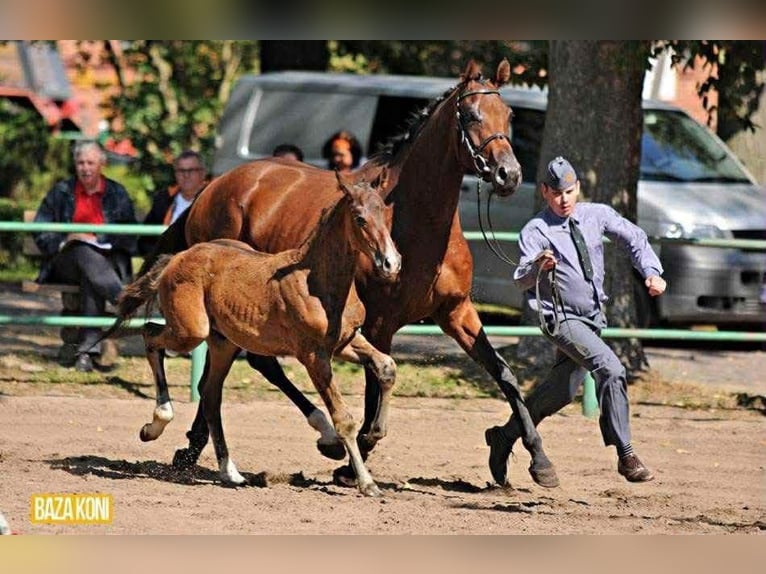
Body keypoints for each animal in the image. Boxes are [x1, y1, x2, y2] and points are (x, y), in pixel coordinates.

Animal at [114, 170, 401, 496]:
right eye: (360, 218)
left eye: (385, 214)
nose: (391, 263)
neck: (317, 280)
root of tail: (178, 256)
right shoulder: (314, 356)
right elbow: (343, 419)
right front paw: (367, 482)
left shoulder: (346, 343)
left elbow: (387, 366)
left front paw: (374, 433)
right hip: (191, 330)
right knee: (150, 335)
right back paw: (157, 423)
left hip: (222, 342)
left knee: (210, 395)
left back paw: (230, 472)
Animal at [143, 59, 559, 488]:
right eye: (472, 114)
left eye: (508, 115)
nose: (509, 174)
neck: (416, 220)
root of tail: (211, 188)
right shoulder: (379, 322)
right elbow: (374, 386)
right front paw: (357, 453)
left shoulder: (456, 312)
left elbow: (505, 375)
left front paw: (539, 461)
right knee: (243, 365)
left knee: (232, 370)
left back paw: (199, 447)